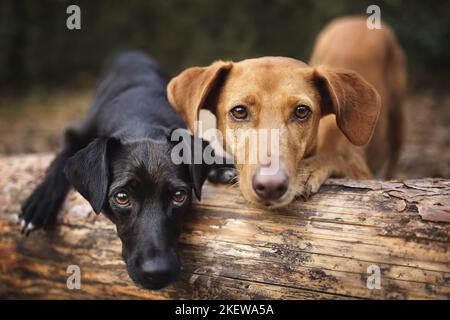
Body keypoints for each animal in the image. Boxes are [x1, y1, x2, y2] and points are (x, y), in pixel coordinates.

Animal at [20, 52, 232, 290]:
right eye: (121, 197)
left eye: (179, 196)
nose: (157, 272)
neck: (140, 119)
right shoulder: (74, 133)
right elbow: (61, 160)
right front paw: (39, 202)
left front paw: (220, 164)